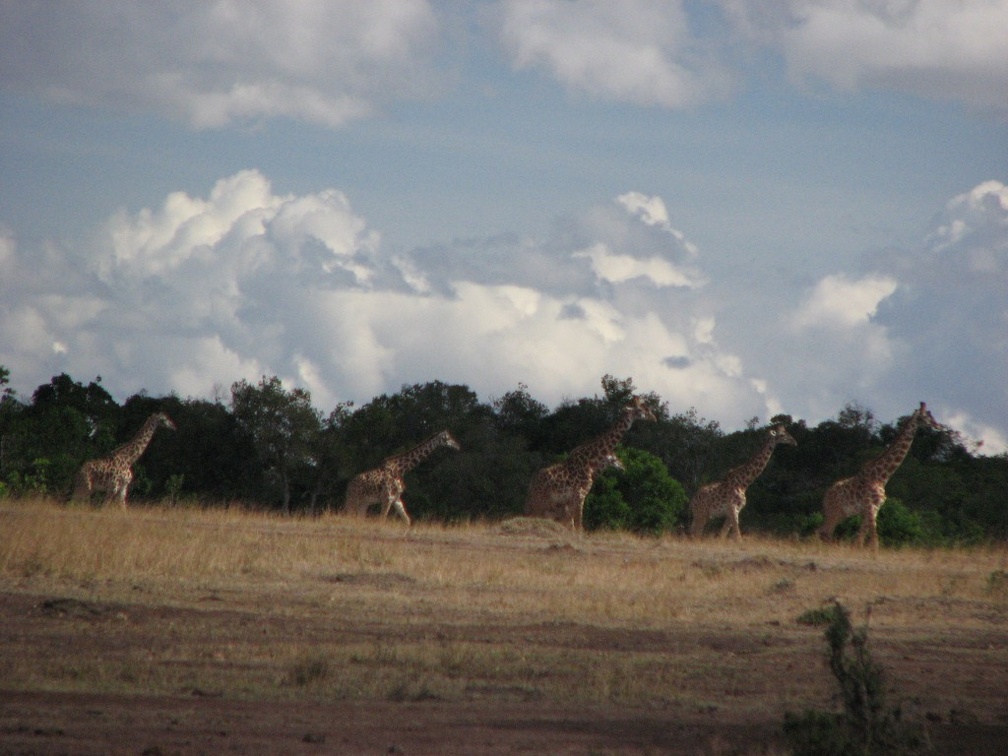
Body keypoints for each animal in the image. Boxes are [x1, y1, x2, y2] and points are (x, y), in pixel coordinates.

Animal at [524, 397, 657, 532]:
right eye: (640, 409)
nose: (654, 418)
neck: (590, 462)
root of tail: (532, 482)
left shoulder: (574, 498)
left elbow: (573, 524)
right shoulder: (580, 494)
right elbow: (578, 524)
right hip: (540, 500)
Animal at [818, 405, 943, 548]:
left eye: (931, 415)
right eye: (925, 417)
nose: (938, 425)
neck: (881, 477)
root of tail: (825, 496)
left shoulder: (874, 509)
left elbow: (861, 537)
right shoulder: (871, 507)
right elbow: (873, 539)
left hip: (841, 513)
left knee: (822, 531)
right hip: (835, 512)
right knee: (825, 532)